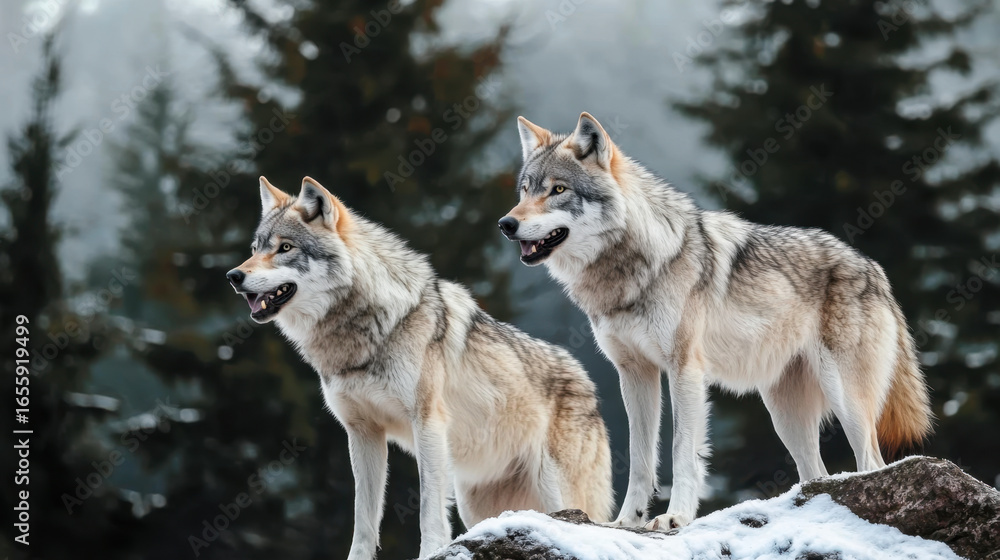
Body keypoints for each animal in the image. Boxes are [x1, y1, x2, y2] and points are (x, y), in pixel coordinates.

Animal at [227, 176, 612, 560]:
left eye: (285, 247)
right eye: (256, 248)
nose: (233, 275)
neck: (363, 334)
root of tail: (588, 384)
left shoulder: (427, 422)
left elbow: (428, 506)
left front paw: (429, 552)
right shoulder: (362, 433)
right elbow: (363, 518)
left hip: (556, 491)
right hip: (477, 504)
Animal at [498, 113, 932, 531]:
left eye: (558, 190)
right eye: (525, 190)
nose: (506, 224)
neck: (633, 267)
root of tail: (873, 267)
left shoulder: (684, 370)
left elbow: (681, 450)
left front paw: (675, 517)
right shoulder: (635, 373)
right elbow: (639, 458)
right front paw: (626, 521)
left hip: (846, 400)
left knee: (872, 463)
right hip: (785, 416)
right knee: (816, 472)